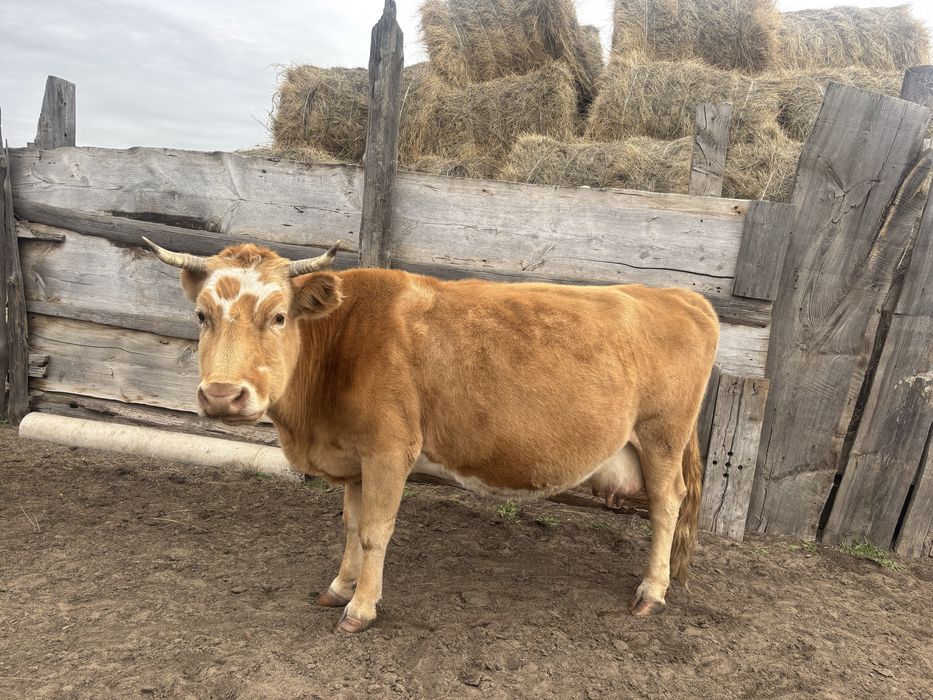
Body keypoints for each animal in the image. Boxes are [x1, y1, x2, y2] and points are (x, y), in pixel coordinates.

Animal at [144, 237, 719, 633]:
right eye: (201, 316)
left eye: (279, 316)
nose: (222, 395)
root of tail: (679, 296)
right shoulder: (355, 457)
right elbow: (352, 526)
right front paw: (339, 587)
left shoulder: (388, 450)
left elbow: (376, 531)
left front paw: (361, 608)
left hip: (662, 437)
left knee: (667, 506)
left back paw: (651, 591)